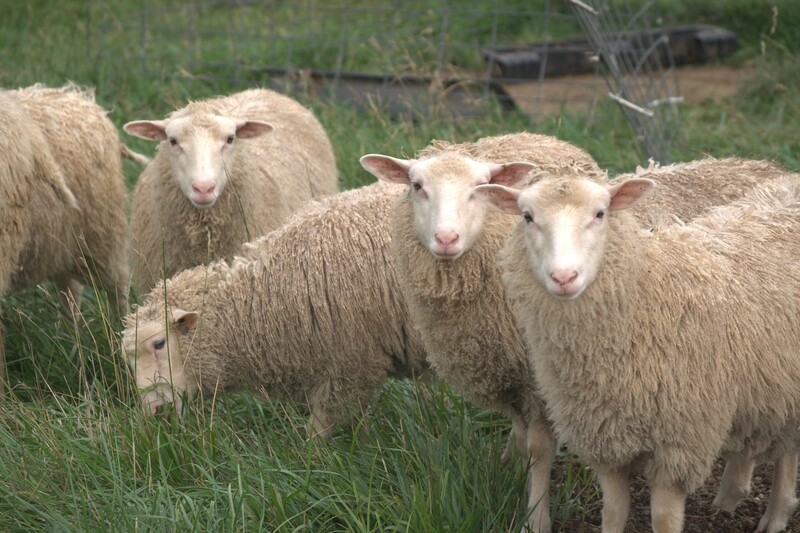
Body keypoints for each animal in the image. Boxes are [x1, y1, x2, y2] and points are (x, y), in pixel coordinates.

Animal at [0, 83, 130, 393]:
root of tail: (79, 99)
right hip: (61, 246)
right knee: (71, 291)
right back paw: (69, 339)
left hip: (102, 237)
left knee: (118, 288)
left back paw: (121, 338)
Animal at [122, 181, 431, 438]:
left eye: (159, 344)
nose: (155, 412)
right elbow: (356, 423)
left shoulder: (351, 366)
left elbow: (319, 431)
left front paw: (312, 462)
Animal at [476, 168, 800, 533]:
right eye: (527, 217)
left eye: (600, 213)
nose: (564, 276)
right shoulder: (606, 439)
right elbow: (614, 511)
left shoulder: (679, 445)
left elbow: (664, 518)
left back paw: (776, 514)